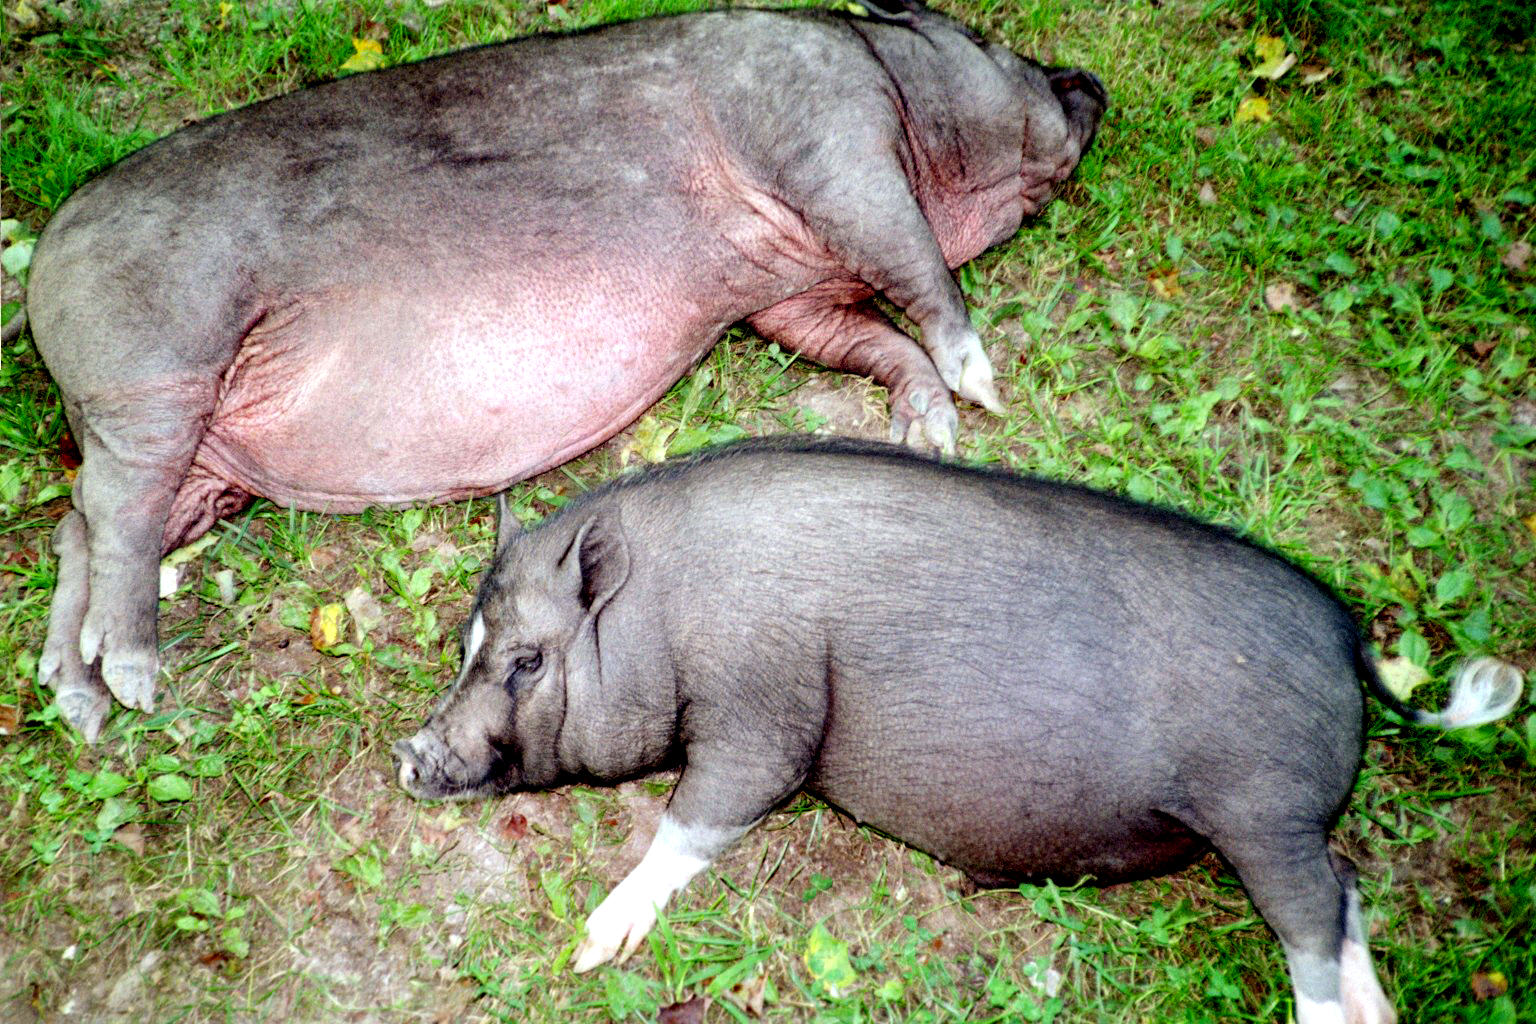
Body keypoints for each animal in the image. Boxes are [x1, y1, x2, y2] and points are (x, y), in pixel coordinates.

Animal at [26, 0, 1106, 743]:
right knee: (115, 514)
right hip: (153, 362)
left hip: (200, 460)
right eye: (1000, 47)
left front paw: (933, 430)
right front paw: (984, 384)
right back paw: (134, 678)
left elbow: (870, 337)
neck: (900, 95)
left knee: (82, 522)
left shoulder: (786, 300)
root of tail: (42, 258)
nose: (1089, 76)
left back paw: (77, 700)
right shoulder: (828, 141)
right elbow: (918, 264)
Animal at [394, 436, 1525, 1024]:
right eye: (465, 641)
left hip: (1263, 811)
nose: (410, 754)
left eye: (527, 659)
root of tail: (1349, 635)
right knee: (1350, 890)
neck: (666, 610)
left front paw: (591, 949)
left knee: (1313, 921)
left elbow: (701, 814)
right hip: (1286, 821)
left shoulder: (768, 711)